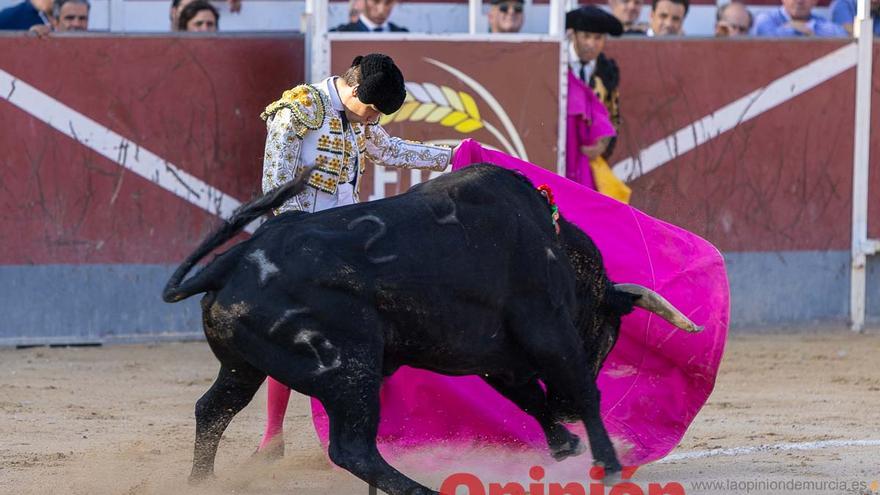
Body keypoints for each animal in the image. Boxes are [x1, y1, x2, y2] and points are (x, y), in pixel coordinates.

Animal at [163, 164, 700, 495]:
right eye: (609, 332)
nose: (564, 411)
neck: (554, 247)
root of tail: (232, 262)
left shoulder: (496, 355)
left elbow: (528, 397)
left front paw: (565, 444)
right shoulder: (547, 328)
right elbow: (583, 390)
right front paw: (608, 466)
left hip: (243, 366)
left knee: (213, 409)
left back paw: (201, 483)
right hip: (351, 369)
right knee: (353, 448)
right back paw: (422, 491)